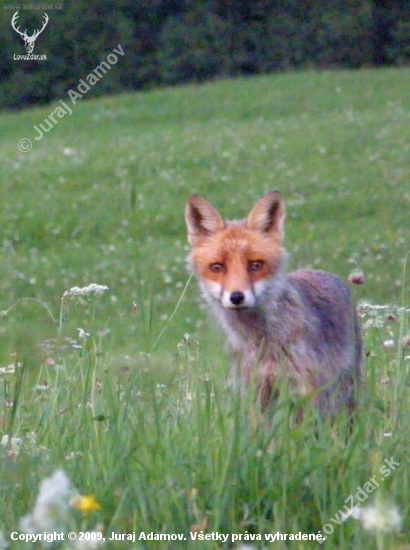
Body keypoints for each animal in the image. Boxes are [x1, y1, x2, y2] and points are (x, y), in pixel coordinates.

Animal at [185, 192, 362, 416]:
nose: (237, 297)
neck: (265, 341)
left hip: (345, 390)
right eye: (217, 267)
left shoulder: (307, 387)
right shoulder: (255, 390)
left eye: (256, 265)